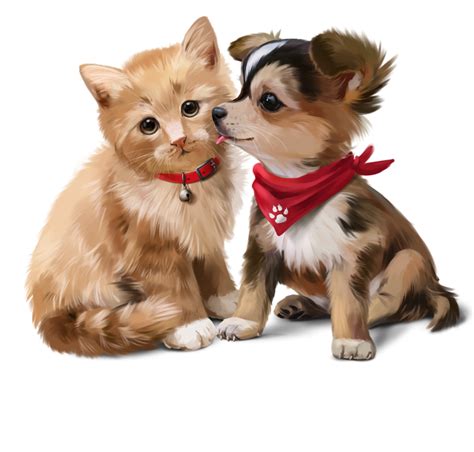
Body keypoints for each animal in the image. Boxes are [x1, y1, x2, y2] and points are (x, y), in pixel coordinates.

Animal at [25, 16, 241, 356]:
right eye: (149, 125)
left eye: (190, 108)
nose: (179, 139)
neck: (186, 183)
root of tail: (43, 312)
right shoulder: (147, 246)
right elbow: (173, 286)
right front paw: (188, 324)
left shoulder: (205, 232)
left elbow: (213, 264)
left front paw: (224, 299)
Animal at [212, 30, 460, 360]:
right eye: (240, 90)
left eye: (269, 101)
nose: (215, 111)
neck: (297, 186)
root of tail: (434, 288)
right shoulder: (263, 245)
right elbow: (254, 287)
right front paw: (243, 322)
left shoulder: (352, 252)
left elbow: (351, 302)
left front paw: (352, 340)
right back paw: (299, 305)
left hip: (409, 260)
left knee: (393, 304)